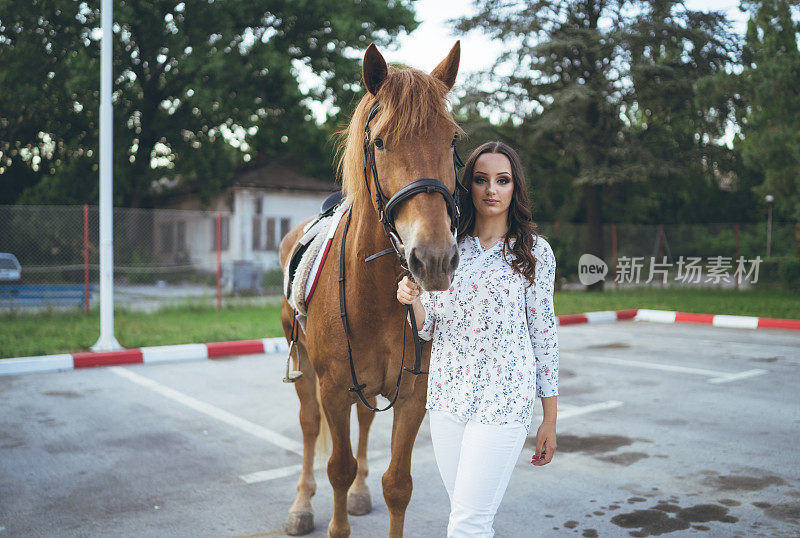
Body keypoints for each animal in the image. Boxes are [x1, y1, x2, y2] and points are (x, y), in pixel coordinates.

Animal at [278, 43, 462, 536]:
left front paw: (368, 489)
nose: (434, 259)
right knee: (308, 425)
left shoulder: (412, 395)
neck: (376, 295)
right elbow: (337, 468)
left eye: (451, 140)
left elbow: (397, 484)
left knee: (363, 420)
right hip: (304, 365)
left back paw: (359, 493)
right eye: (379, 142)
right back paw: (301, 504)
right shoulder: (334, 388)